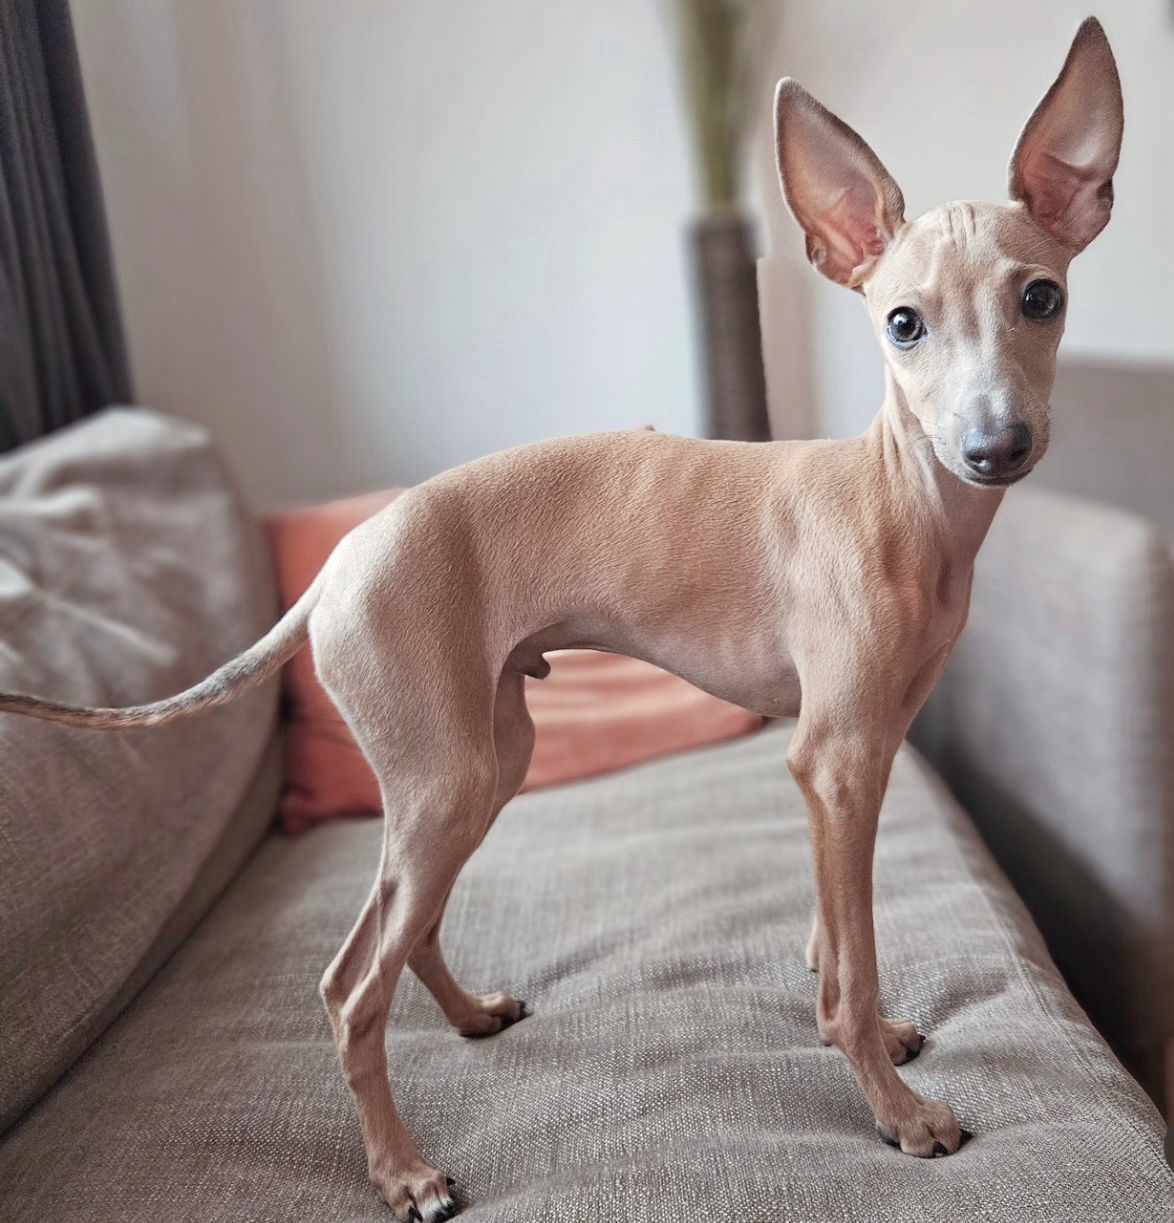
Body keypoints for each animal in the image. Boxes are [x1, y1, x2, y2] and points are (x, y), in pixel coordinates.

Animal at [0, 18, 1123, 1221]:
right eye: (902, 323)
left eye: (1041, 299)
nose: (994, 447)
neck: (900, 500)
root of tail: (340, 562)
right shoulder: (836, 757)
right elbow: (850, 965)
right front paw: (898, 1110)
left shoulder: (847, 762)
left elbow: (832, 937)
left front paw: (874, 1039)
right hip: (445, 778)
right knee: (350, 988)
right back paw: (402, 1171)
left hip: (487, 757)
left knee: (409, 929)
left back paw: (467, 1015)